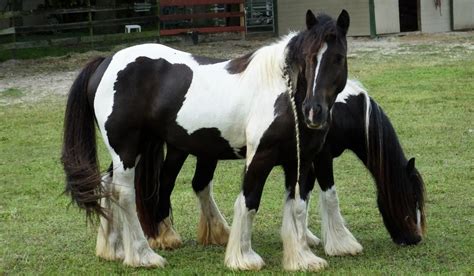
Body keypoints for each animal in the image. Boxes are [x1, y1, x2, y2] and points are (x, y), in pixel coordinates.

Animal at [62, 9, 352, 270]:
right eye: (308, 58)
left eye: (338, 58)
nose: (313, 111)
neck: (282, 93)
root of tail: (106, 62)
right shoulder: (260, 157)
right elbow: (249, 201)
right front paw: (243, 258)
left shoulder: (300, 161)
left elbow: (297, 206)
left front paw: (302, 258)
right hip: (126, 149)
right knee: (123, 193)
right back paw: (143, 256)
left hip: (136, 148)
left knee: (107, 184)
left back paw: (113, 249)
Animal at [137, 81, 426, 258]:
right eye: (412, 198)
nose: (415, 238)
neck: (340, 110)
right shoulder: (322, 158)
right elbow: (328, 194)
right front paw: (340, 243)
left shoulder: (305, 161)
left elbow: (302, 196)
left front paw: (305, 237)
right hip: (180, 150)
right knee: (165, 184)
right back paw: (165, 237)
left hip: (206, 153)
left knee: (200, 185)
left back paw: (220, 233)